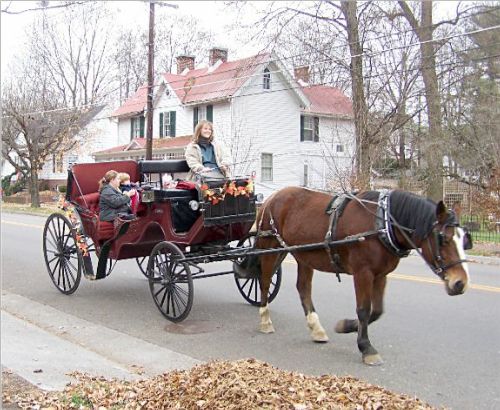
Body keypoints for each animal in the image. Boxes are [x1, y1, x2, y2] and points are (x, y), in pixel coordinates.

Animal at [254, 188, 468, 366]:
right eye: (444, 239)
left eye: (464, 238)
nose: (460, 283)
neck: (382, 224)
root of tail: (272, 197)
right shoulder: (362, 272)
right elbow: (364, 309)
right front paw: (366, 347)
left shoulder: (380, 274)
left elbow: (377, 311)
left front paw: (346, 326)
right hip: (270, 247)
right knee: (264, 282)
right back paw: (265, 320)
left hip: (303, 255)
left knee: (303, 288)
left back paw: (316, 329)